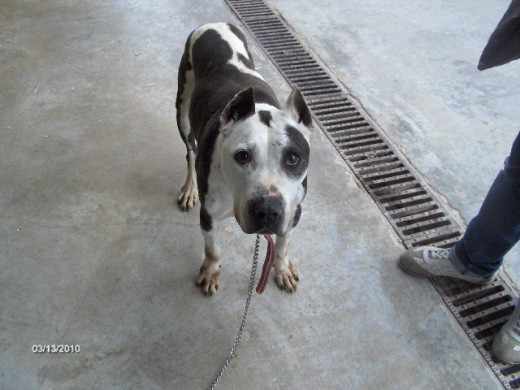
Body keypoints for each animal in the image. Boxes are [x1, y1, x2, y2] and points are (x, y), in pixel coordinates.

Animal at [175, 22, 312, 296]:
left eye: (293, 158)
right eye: (242, 156)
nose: (268, 211)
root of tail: (213, 24)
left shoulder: (294, 211)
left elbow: (283, 244)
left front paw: (282, 269)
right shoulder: (209, 215)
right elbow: (213, 250)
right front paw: (210, 273)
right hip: (182, 107)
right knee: (190, 151)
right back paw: (189, 188)